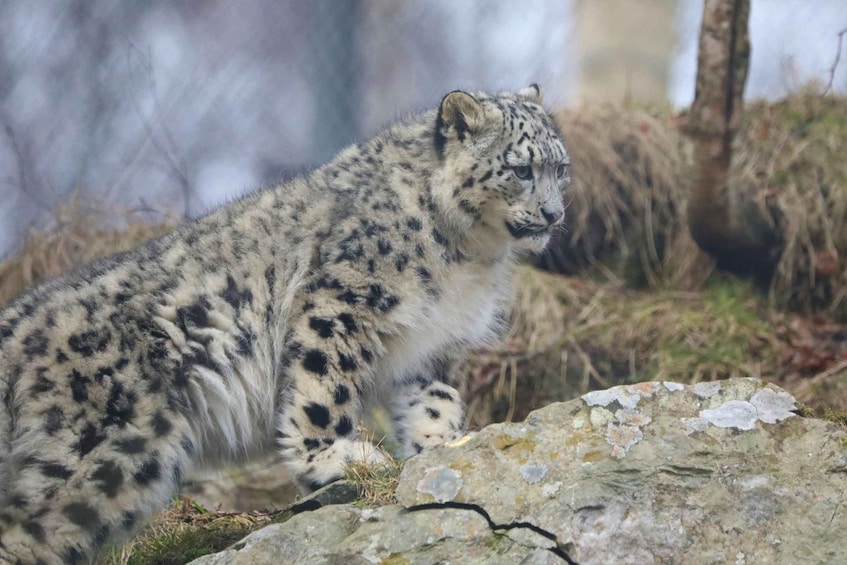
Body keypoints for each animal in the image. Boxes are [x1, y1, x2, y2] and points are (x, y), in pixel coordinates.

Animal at [0, 84, 570, 563]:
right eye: (521, 169)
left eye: (560, 168)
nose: (554, 215)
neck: (468, 256)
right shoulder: (341, 302)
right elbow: (323, 388)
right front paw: (332, 459)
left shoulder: (433, 345)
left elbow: (435, 400)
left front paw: (437, 449)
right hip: (102, 450)